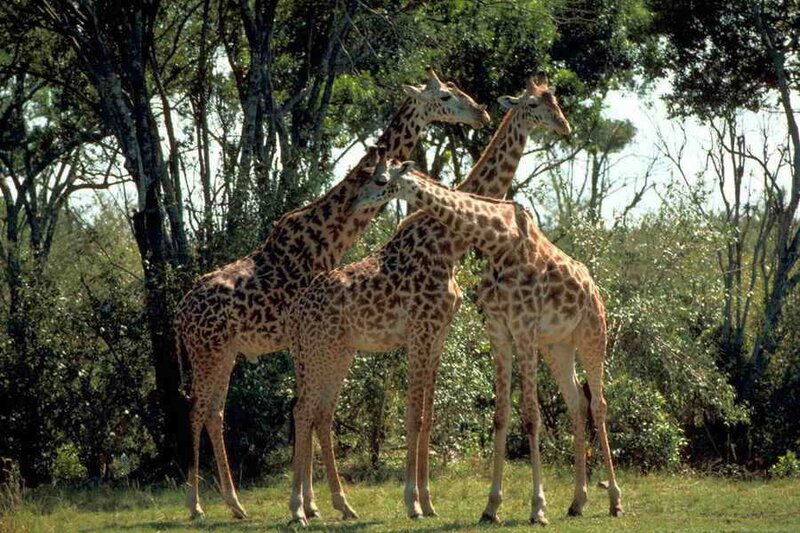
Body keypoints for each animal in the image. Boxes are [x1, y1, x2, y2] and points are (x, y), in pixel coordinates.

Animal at [176, 67, 489, 521]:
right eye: (446, 96)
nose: (481, 112)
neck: (330, 235)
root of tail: (180, 312)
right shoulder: (304, 338)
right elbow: (308, 411)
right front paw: (312, 504)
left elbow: (309, 412)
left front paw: (313, 503)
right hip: (209, 351)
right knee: (199, 409)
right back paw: (198, 505)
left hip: (226, 352)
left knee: (214, 411)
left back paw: (235, 504)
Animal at [286, 76, 570, 525]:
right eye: (533, 105)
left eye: (554, 102)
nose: (565, 128)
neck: (449, 242)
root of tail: (296, 311)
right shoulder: (419, 330)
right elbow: (413, 413)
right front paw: (412, 501)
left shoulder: (438, 332)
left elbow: (428, 414)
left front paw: (428, 500)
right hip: (321, 352)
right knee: (304, 410)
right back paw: (299, 508)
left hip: (334, 352)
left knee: (318, 412)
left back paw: (328, 505)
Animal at [353, 160, 624, 524]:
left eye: (381, 180)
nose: (357, 203)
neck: (497, 243)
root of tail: (593, 287)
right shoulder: (499, 331)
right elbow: (500, 416)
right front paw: (491, 507)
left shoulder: (523, 329)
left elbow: (531, 416)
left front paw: (537, 508)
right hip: (558, 346)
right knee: (577, 403)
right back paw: (577, 502)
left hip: (593, 333)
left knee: (599, 404)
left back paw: (615, 500)